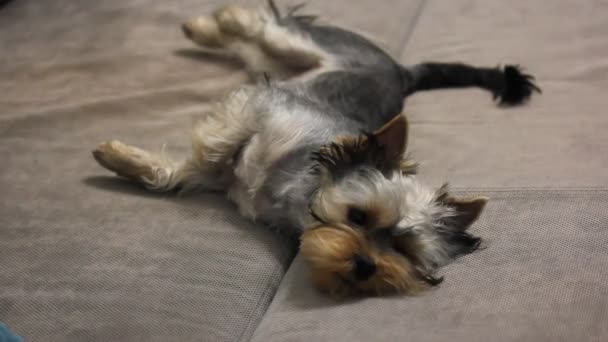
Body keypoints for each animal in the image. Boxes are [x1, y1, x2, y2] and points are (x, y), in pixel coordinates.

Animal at [92, 0, 540, 296]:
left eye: (403, 249)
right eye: (357, 216)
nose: (365, 266)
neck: (297, 193)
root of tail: (403, 71)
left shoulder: (229, 162)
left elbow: (190, 171)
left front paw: (125, 160)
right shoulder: (262, 104)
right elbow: (213, 150)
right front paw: (118, 156)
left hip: (279, 63)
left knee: (255, 43)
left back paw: (206, 26)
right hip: (307, 50)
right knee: (268, 26)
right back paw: (214, 20)